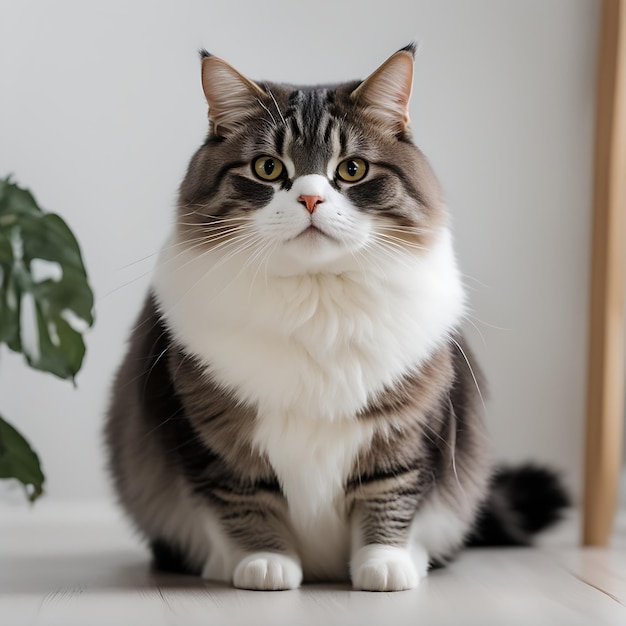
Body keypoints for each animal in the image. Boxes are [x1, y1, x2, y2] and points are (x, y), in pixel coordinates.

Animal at [106, 45, 564, 588]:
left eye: (352, 170)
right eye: (267, 168)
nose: (310, 198)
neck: (315, 297)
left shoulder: (404, 428)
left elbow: (388, 499)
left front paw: (384, 567)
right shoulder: (214, 433)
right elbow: (247, 505)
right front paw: (265, 565)